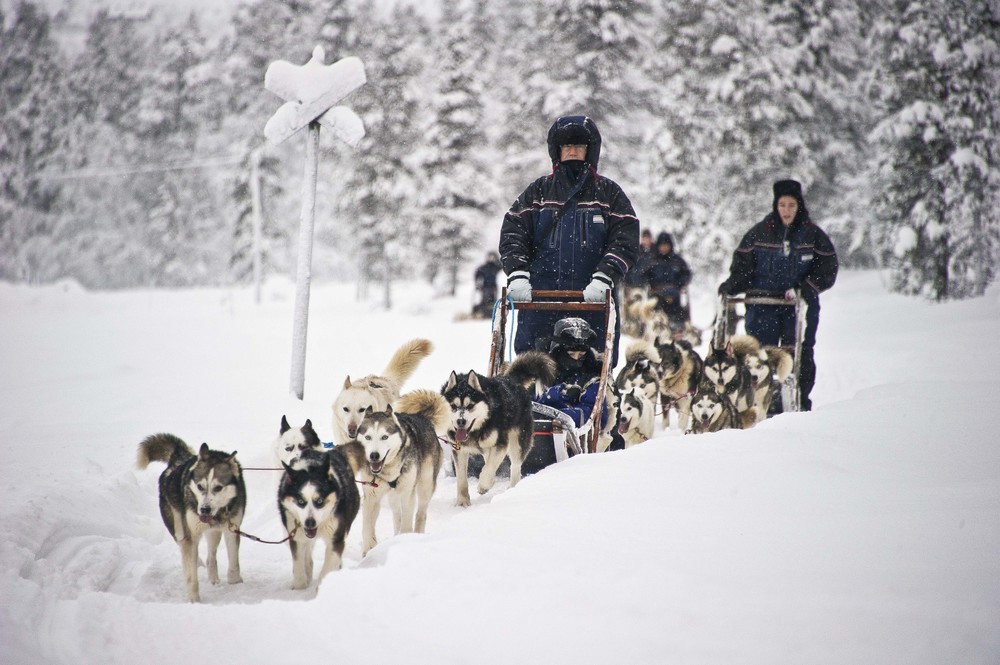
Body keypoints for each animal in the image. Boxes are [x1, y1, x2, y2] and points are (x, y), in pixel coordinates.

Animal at [136, 434, 245, 604]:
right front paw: (193, 599)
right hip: (178, 527)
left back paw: (213, 578)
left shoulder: (232, 529)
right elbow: (191, 574)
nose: (204, 509)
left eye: (218, 488)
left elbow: (234, 562)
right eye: (200, 486)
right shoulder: (190, 535)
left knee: (211, 556)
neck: (219, 513)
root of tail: (178, 458)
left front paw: (235, 582)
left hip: (214, 533)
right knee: (187, 548)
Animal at [278, 444, 360, 588]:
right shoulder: (296, 535)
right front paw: (300, 584)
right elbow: (299, 567)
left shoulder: (335, 538)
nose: (310, 523)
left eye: (320, 501)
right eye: (300, 501)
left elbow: (327, 569)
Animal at [352, 390, 446, 556]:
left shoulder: (407, 493)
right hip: (393, 498)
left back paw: (417, 535)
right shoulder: (371, 496)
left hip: (425, 486)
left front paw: (405, 541)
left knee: (420, 514)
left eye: (384, 436)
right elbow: (367, 527)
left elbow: (407, 522)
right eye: (368, 437)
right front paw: (368, 551)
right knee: (397, 516)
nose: (374, 455)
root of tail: (422, 417)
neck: (388, 470)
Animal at [442, 350, 560, 506]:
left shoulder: (501, 444)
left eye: (470, 405)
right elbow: (461, 478)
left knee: (514, 465)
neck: (477, 430)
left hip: (517, 441)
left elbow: (489, 468)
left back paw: (513, 487)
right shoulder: (459, 450)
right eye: (454, 406)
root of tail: (511, 379)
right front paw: (462, 502)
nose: (460, 421)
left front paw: (483, 485)